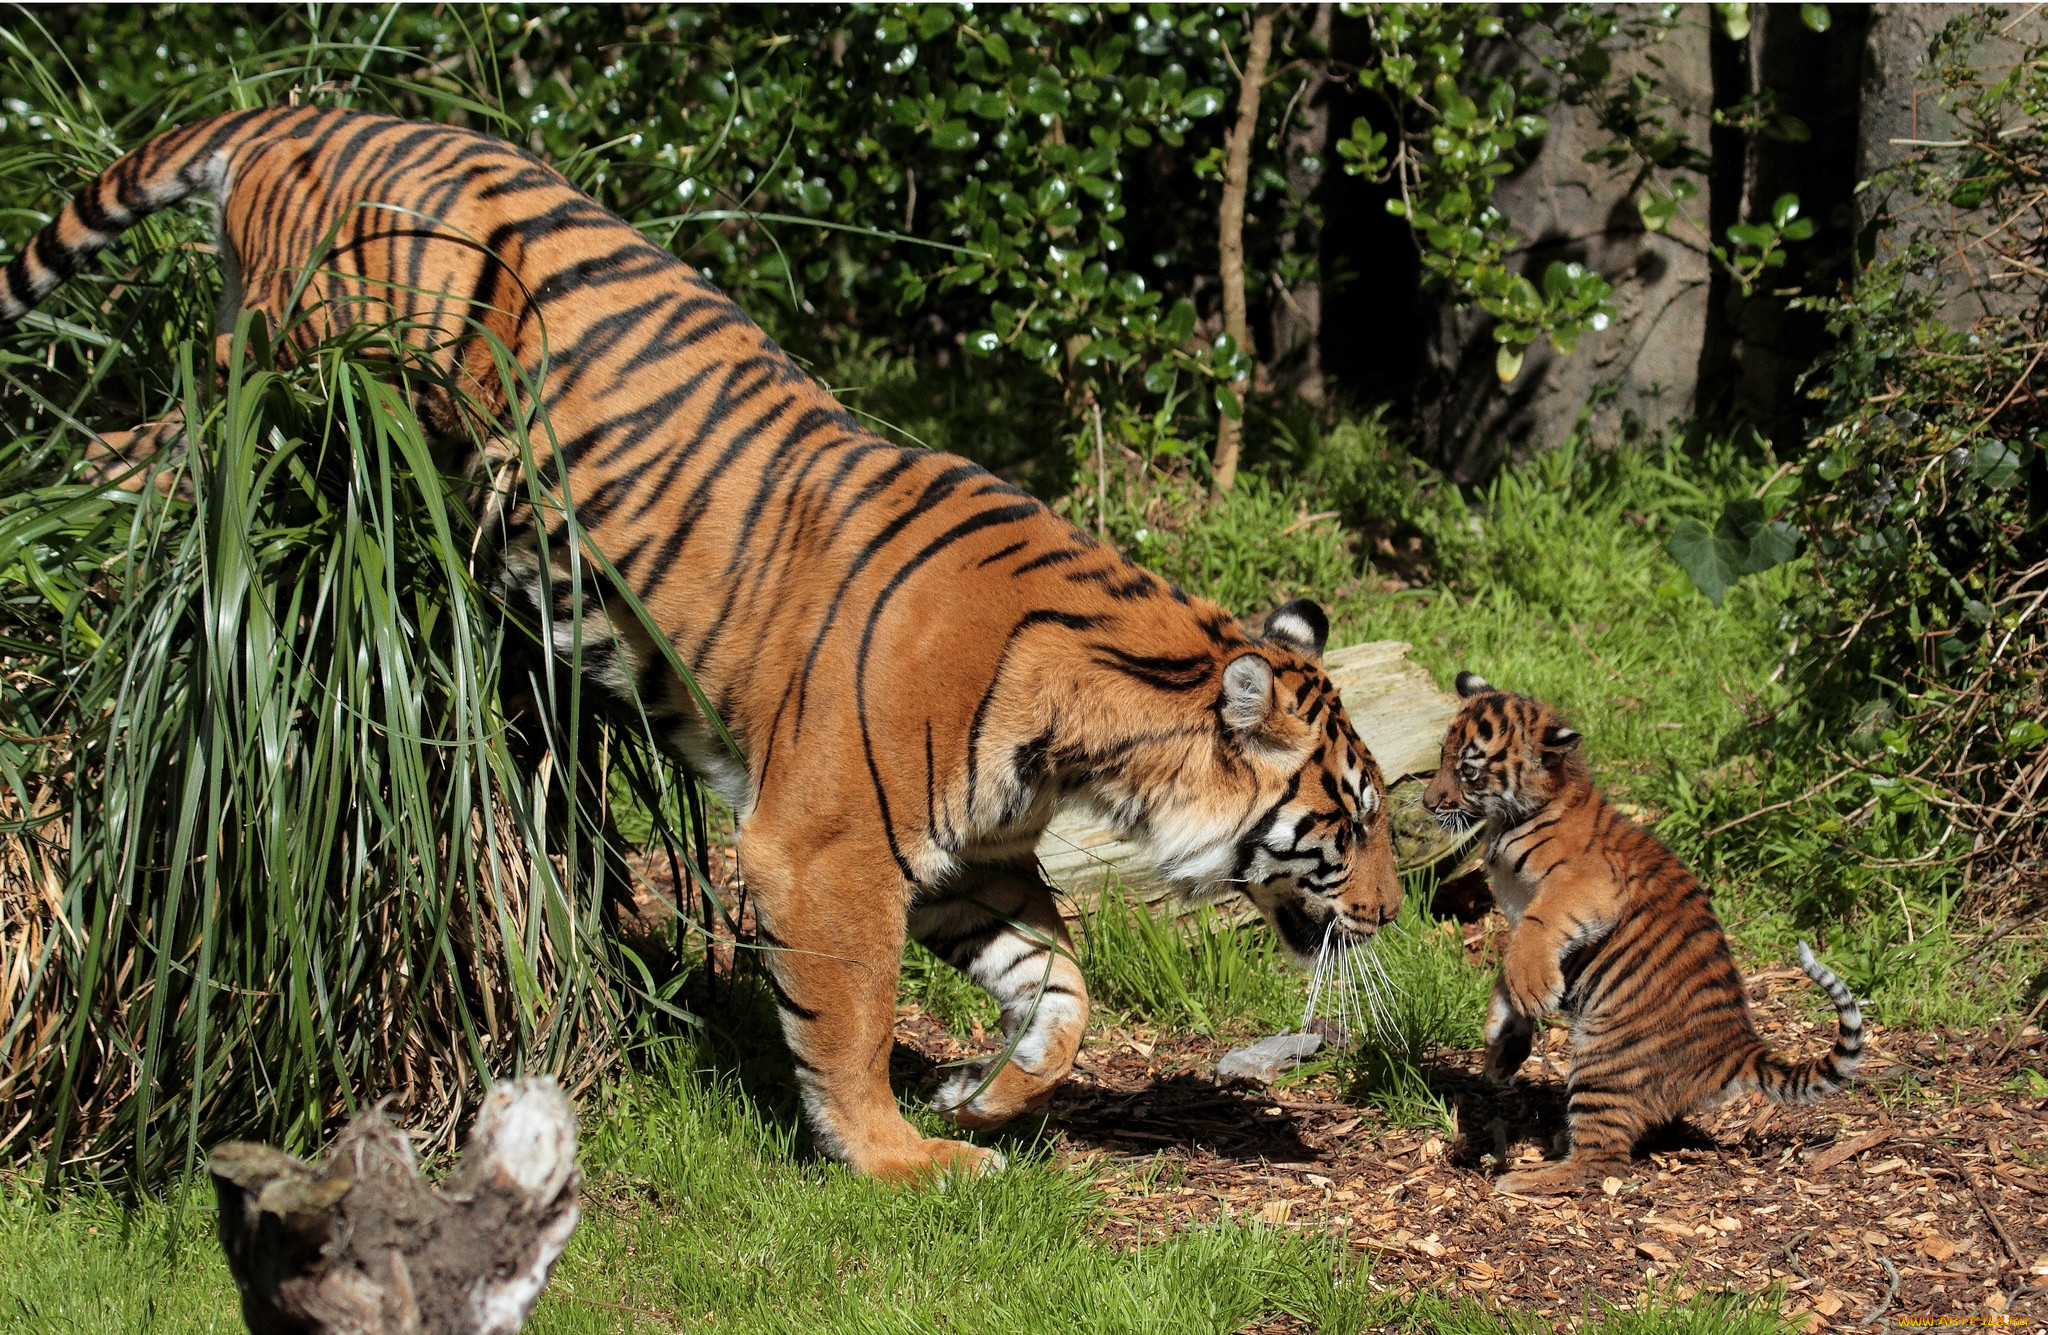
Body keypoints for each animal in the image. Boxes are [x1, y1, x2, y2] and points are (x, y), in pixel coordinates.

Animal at [0, 109, 1409, 1187]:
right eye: (1348, 818)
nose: (1396, 917)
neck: (1097, 747)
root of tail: (309, 112)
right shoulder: (826, 848)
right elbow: (850, 1018)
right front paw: (899, 1158)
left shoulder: (974, 856)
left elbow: (1061, 992)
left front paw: (990, 1097)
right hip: (286, 372)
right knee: (140, 452)